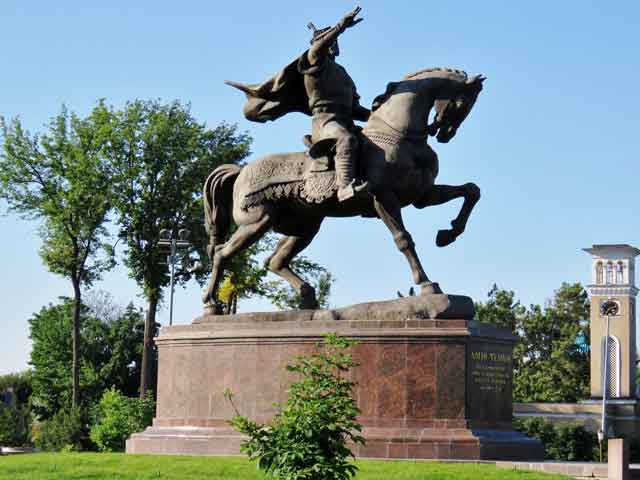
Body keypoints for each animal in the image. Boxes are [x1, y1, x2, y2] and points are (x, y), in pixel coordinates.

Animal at [205, 66, 484, 308]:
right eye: (463, 103)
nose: (446, 134)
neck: (401, 136)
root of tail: (242, 170)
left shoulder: (423, 195)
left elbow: (471, 190)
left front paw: (447, 235)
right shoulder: (384, 198)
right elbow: (403, 239)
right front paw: (427, 284)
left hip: (305, 227)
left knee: (274, 260)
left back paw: (308, 298)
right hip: (256, 222)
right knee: (221, 254)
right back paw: (211, 305)